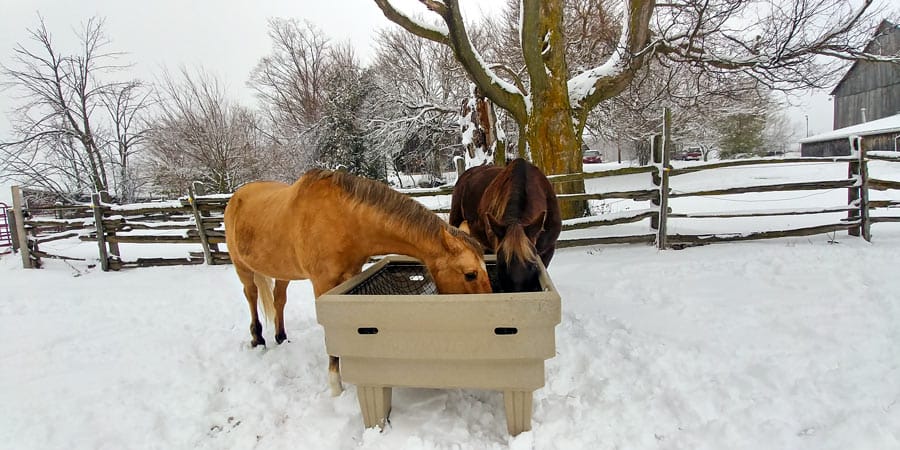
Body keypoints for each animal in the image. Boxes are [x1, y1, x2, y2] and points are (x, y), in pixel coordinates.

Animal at [224, 169, 492, 396]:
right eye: (470, 274)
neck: (342, 219)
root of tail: (236, 197)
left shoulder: (351, 277)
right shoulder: (322, 284)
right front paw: (335, 385)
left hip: (282, 272)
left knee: (279, 299)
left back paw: (281, 337)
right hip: (242, 268)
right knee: (251, 295)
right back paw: (258, 339)